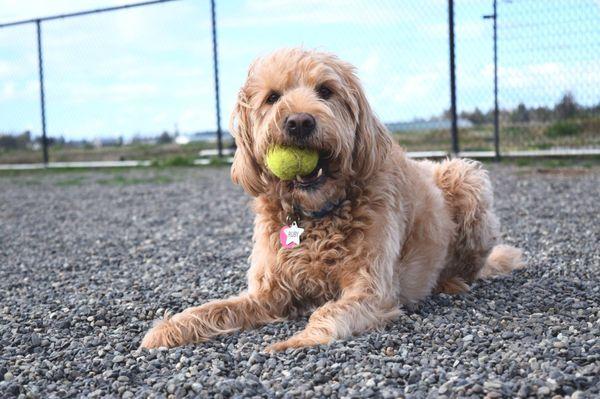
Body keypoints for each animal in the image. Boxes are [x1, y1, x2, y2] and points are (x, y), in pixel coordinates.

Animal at [142, 48, 524, 352]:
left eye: (326, 91)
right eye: (272, 97)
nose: (299, 122)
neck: (315, 215)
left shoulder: (371, 288)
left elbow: (328, 311)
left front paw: (296, 341)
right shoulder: (270, 293)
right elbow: (216, 308)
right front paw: (170, 328)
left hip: (466, 177)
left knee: (470, 266)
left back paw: (450, 282)